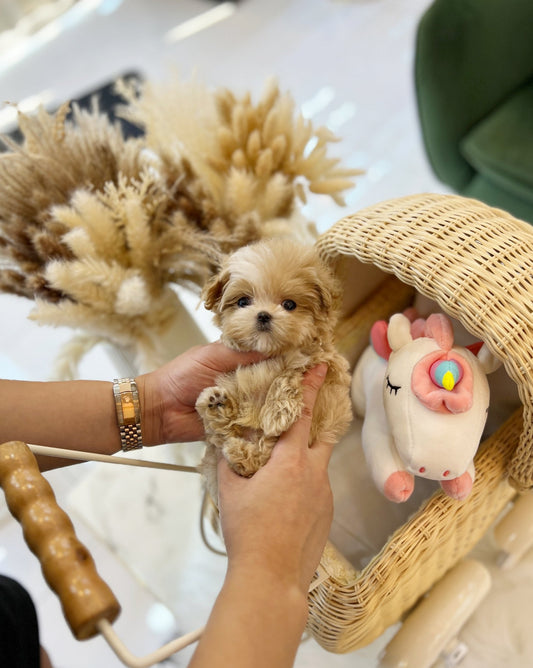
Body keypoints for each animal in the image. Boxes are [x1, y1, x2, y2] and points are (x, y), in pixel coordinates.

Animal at [195, 237, 354, 504]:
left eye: (289, 304)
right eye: (243, 302)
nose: (263, 315)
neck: (273, 352)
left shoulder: (324, 363)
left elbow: (288, 375)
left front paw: (276, 413)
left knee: (254, 455)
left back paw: (238, 448)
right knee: (223, 434)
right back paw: (216, 405)